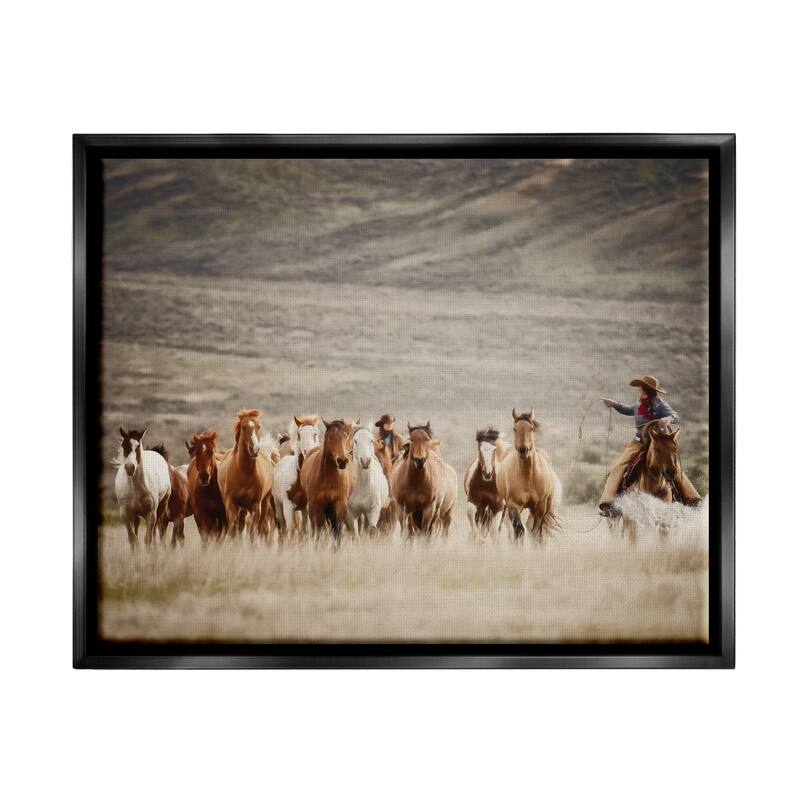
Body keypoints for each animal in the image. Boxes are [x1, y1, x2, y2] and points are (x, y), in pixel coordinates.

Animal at [217, 409, 276, 541]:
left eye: (258, 426)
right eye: (244, 427)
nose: (255, 449)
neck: (245, 474)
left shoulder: (255, 506)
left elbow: (253, 532)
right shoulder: (232, 504)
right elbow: (233, 531)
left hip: (264, 502)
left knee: (262, 528)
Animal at [496, 409, 562, 540]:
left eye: (531, 428)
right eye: (514, 428)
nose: (523, 450)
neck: (528, 477)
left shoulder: (540, 506)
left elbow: (536, 531)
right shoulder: (513, 505)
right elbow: (519, 530)